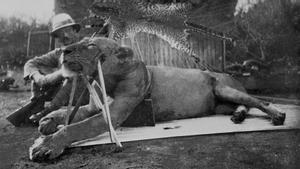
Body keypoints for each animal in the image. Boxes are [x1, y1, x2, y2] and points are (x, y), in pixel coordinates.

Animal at [28, 37, 286, 161]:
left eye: (91, 45)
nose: (63, 51)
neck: (107, 79)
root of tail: (229, 74)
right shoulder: (94, 107)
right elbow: (71, 113)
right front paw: (48, 120)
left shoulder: (116, 113)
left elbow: (77, 127)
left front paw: (46, 145)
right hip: (221, 104)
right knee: (243, 106)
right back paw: (238, 116)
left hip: (224, 89)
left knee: (258, 102)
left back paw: (278, 116)